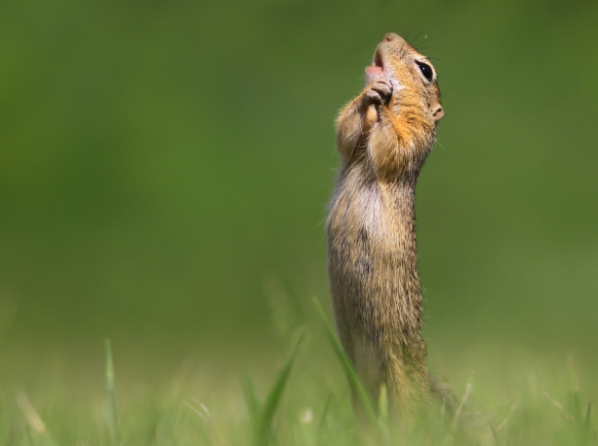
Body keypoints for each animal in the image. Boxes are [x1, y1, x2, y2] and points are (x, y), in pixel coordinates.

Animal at [328, 32, 446, 412]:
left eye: (426, 70)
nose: (388, 35)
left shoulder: (413, 137)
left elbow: (392, 145)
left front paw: (381, 97)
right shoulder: (351, 146)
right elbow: (346, 132)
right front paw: (370, 94)